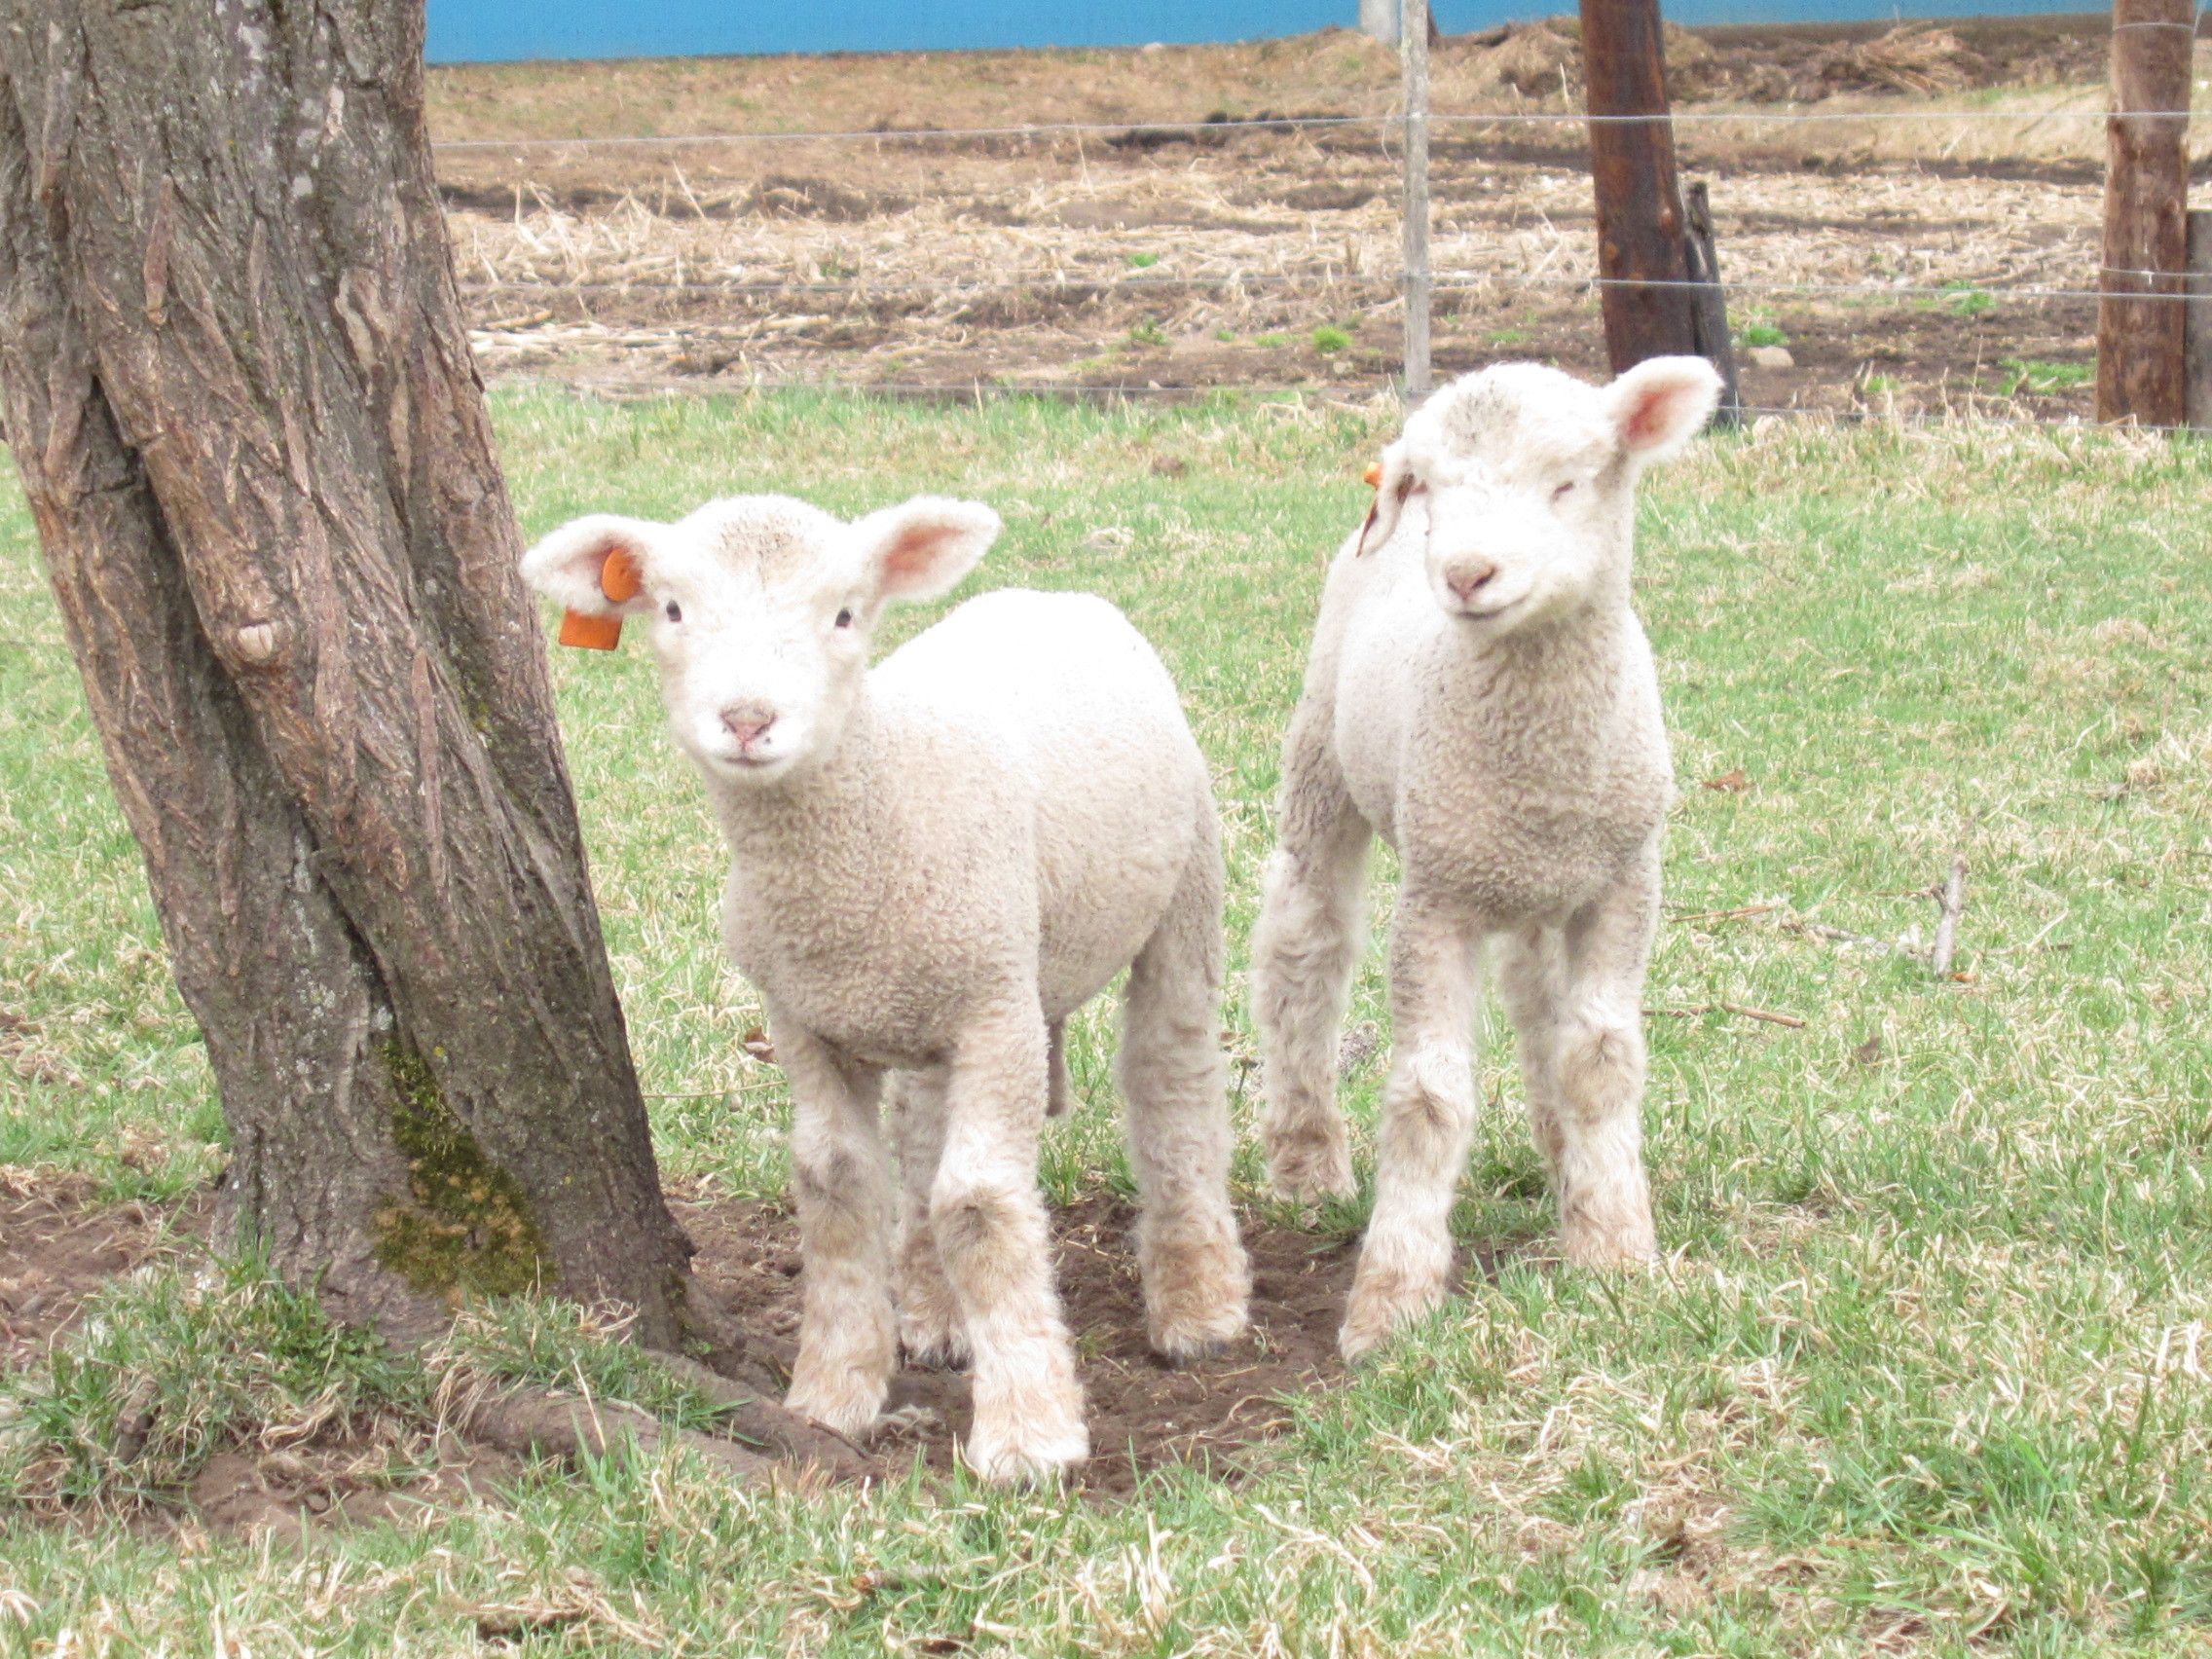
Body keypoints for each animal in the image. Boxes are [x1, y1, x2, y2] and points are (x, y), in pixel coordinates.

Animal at [522, 493, 1251, 1480]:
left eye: (844, 614)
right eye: (671, 609)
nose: (747, 719)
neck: (878, 790)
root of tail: (1051, 594)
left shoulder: (998, 1009)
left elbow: (979, 1204)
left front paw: (1029, 1432)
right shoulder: (802, 1016)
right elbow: (835, 1184)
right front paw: (833, 1393)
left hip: (1183, 887)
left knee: (1170, 1077)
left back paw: (1198, 1303)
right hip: (928, 999)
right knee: (921, 1128)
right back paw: (936, 1313)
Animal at [1248, 356, 1722, 1360]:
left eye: (1569, 481)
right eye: (1432, 488)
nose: (1466, 573)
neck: (1541, 767)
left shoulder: (1623, 884)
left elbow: (1599, 1058)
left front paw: (1613, 1246)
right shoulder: (1437, 900)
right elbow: (1429, 1099)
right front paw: (1391, 1304)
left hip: (1534, 886)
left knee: (1538, 998)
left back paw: (1560, 1154)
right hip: (1322, 761)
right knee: (1304, 946)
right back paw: (1308, 1158)